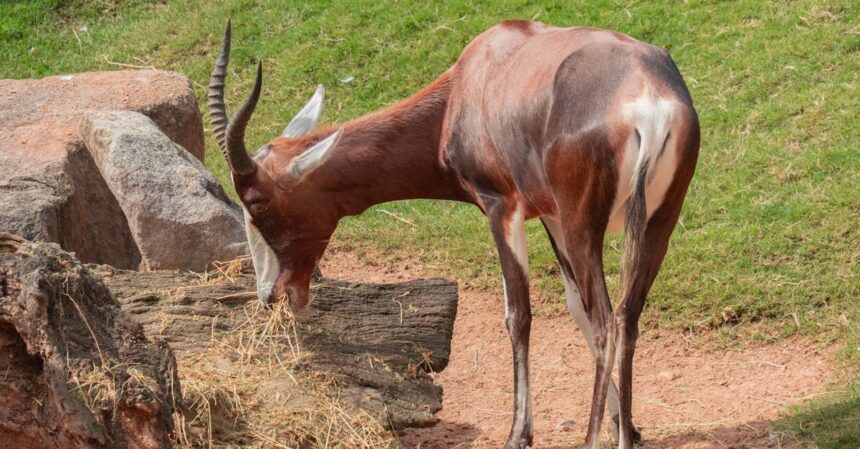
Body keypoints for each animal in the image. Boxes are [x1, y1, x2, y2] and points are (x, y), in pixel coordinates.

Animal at [208, 18, 699, 449]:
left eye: (256, 203)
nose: (270, 294)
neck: (475, 78)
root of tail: (647, 100)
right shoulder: (551, 216)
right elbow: (573, 308)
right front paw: (627, 427)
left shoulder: (502, 208)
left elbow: (518, 316)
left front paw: (518, 435)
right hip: (655, 226)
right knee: (625, 318)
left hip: (586, 227)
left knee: (604, 324)